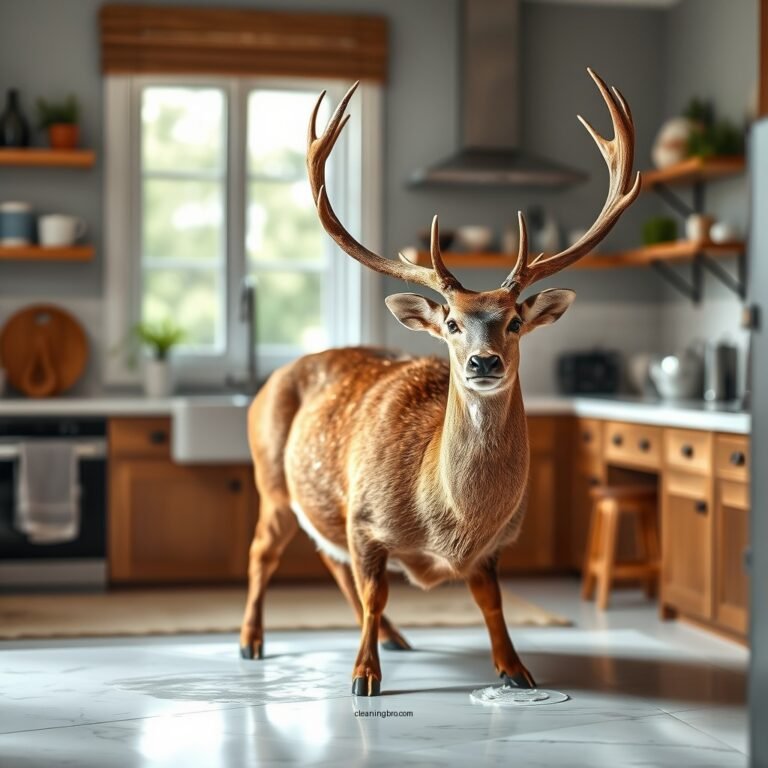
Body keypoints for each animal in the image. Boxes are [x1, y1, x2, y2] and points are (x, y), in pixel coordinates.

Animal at [239, 68, 640, 696]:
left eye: (515, 321)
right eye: (451, 322)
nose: (483, 362)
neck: (447, 524)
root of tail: (270, 380)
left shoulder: (496, 546)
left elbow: (491, 601)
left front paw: (516, 669)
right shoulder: (365, 517)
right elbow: (376, 591)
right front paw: (363, 676)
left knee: (328, 558)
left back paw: (396, 638)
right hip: (270, 475)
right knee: (264, 552)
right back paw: (252, 641)